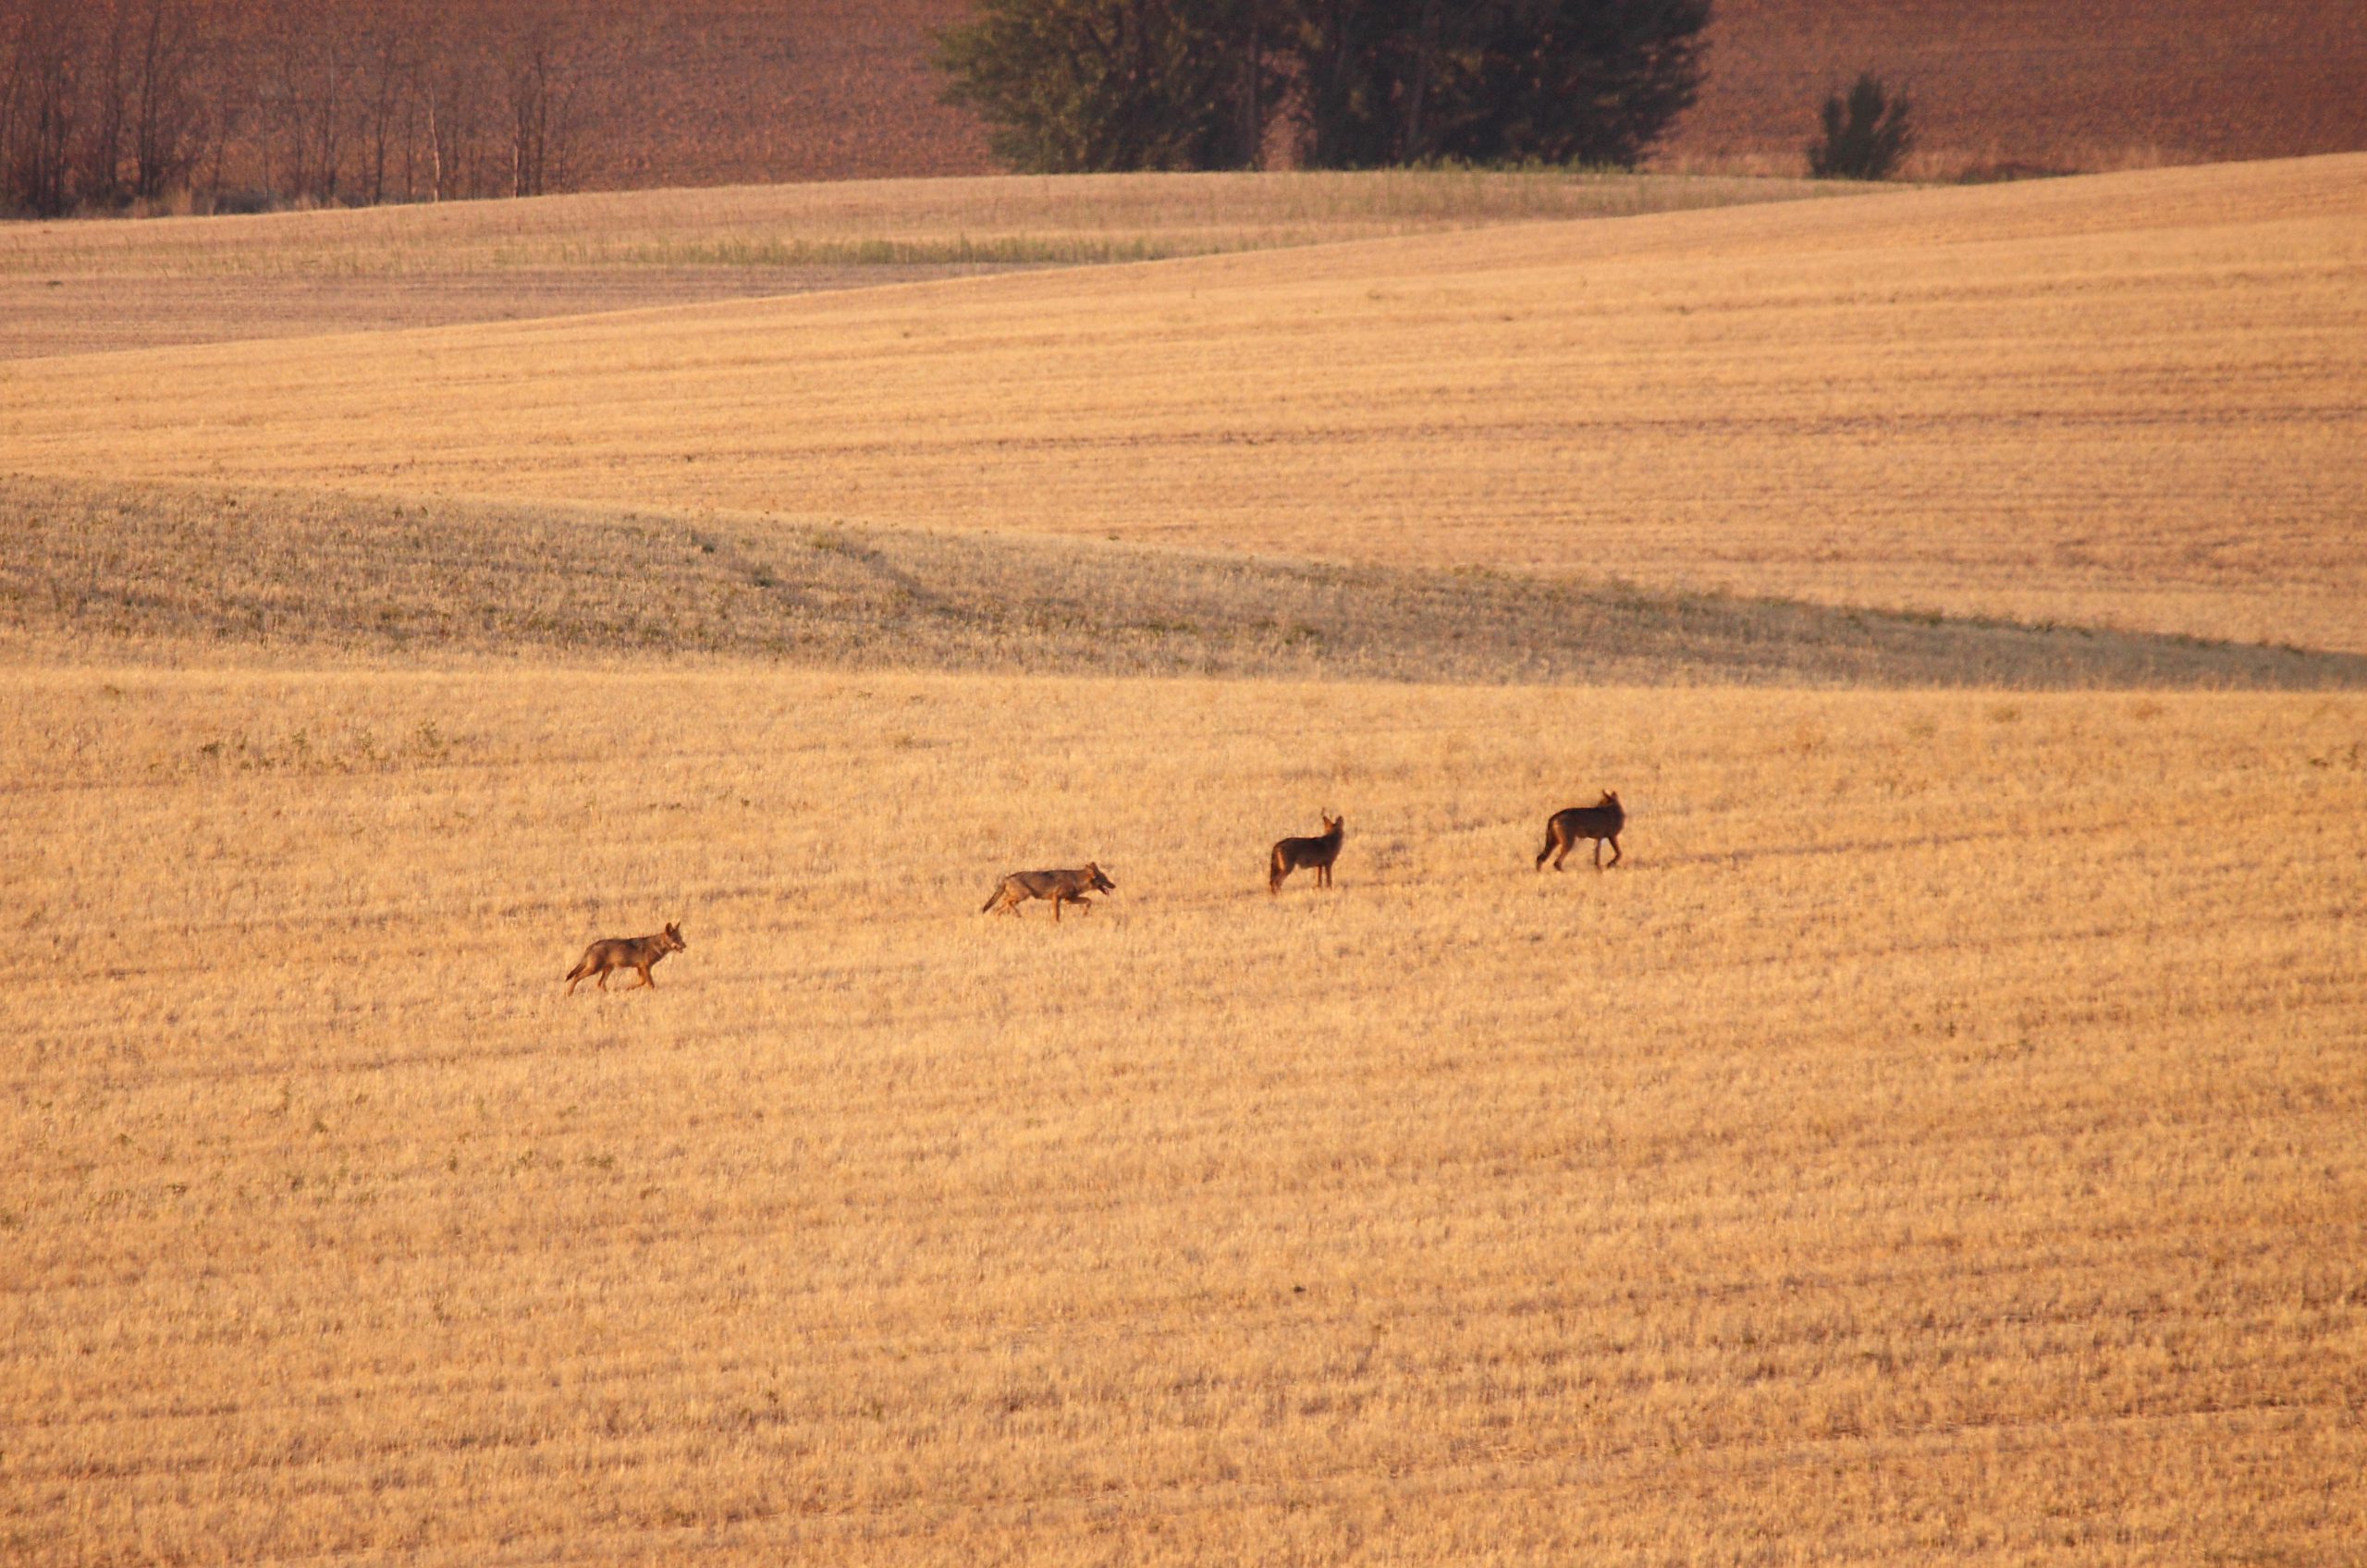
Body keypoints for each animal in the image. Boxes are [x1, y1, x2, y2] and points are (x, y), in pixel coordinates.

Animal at [564, 922, 685, 993]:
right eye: (676, 939)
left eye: (681, 938)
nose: (685, 945)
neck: (656, 946)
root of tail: (592, 945)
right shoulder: (644, 967)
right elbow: (650, 984)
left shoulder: (640, 968)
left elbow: (642, 982)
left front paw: (627, 988)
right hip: (594, 970)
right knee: (577, 977)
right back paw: (569, 994)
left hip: (608, 969)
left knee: (600, 983)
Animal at [981, 864, 1115, 922]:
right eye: (1105, 880)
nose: (1114, 886)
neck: (1076, 880)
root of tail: (1007, 877)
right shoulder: (1057, 898)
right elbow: (1056, 914)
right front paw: (1056, 924)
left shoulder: (1068, 900)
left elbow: (1088, 900)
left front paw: (1085, 913)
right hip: (1024, 895)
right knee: (1006, 902)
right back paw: (1018, 915)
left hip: (1019, 897)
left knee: (999, 908)